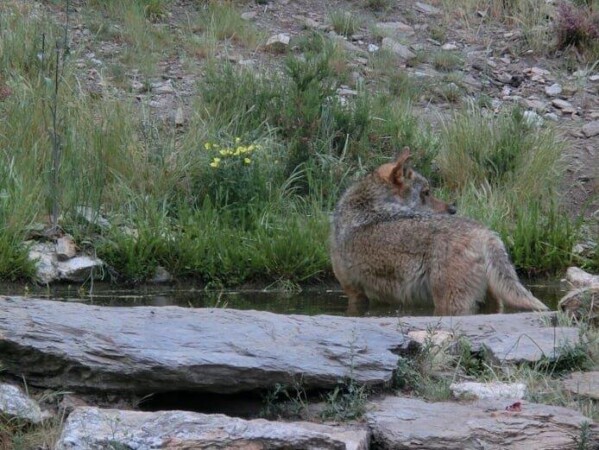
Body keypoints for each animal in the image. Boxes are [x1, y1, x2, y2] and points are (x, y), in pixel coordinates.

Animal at [330, 147, 549, 315]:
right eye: (426, 193)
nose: (452, 209)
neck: (364, 204)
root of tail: (485, 233)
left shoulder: (355, 292)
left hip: (450, 302)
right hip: (490, 299)